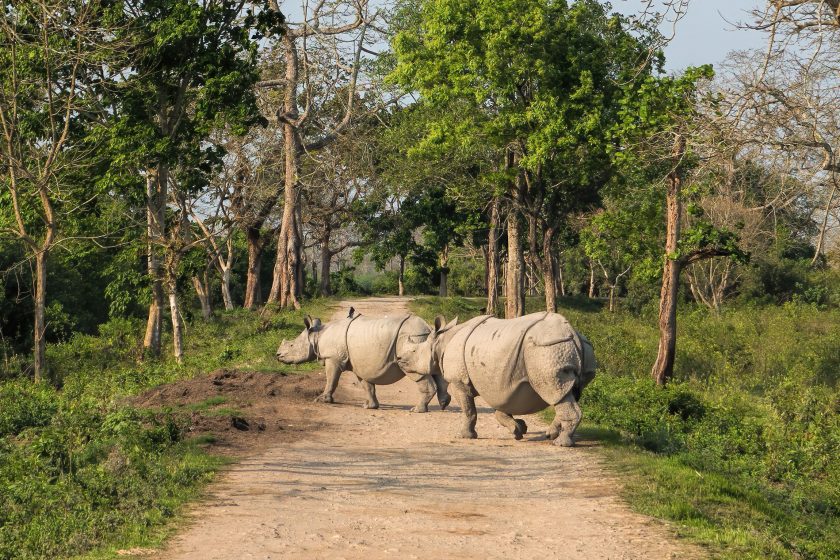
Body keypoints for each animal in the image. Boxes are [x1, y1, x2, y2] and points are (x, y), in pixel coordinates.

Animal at [276, 310, 450, 412]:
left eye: (291, 345)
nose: (278, 355)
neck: (316, 336)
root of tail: (427, 328)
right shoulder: (359, 364)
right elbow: (367, 385)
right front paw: (369, 406)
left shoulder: (333, 358)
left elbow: (331, 379)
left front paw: (322, 400)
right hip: (423, 340)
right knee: (434, 371)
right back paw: (444, 404)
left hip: (412, 338)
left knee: (416, 371)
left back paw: (416, 410)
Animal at [398, 310, 592, 446]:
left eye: (413, 351)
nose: (399, 359)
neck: (441, 342)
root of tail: (572, 333)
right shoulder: (502, 383)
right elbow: (502, 408)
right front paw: (518, 429)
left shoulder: (459, 381)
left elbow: (468, 410)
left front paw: (465, 436)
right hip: (570, 347)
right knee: (567, 393)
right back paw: (551, 434)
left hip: (547, 349)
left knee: (554, 391)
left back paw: (561, 443)